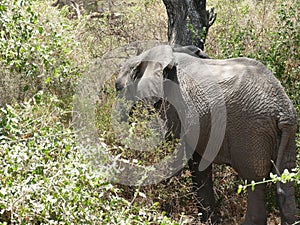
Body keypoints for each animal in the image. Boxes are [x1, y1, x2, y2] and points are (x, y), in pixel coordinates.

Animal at [114, 44, 298, 224]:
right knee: (286, 178)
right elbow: (198, 163)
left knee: (254, 180)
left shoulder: (174, 104)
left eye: (118, 87)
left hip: (252, 130)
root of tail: (283, 110)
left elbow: (172, 150)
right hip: (286, 134)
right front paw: (207, 220)